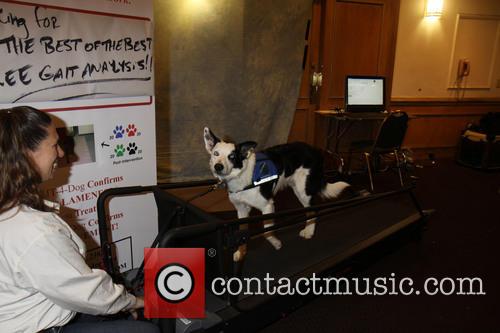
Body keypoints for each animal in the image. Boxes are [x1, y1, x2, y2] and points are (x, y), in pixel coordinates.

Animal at [204, 126, 352, 260]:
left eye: (232, 156)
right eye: (216, 153)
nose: (218, 167)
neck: (241, 176)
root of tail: (315, 150)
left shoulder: (268, 206)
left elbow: (267, 230)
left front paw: (276, 243)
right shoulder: (242, 210)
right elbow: (242, 234)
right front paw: (241, 253)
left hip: (303, 191)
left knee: (312, 211)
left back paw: (309, 232)